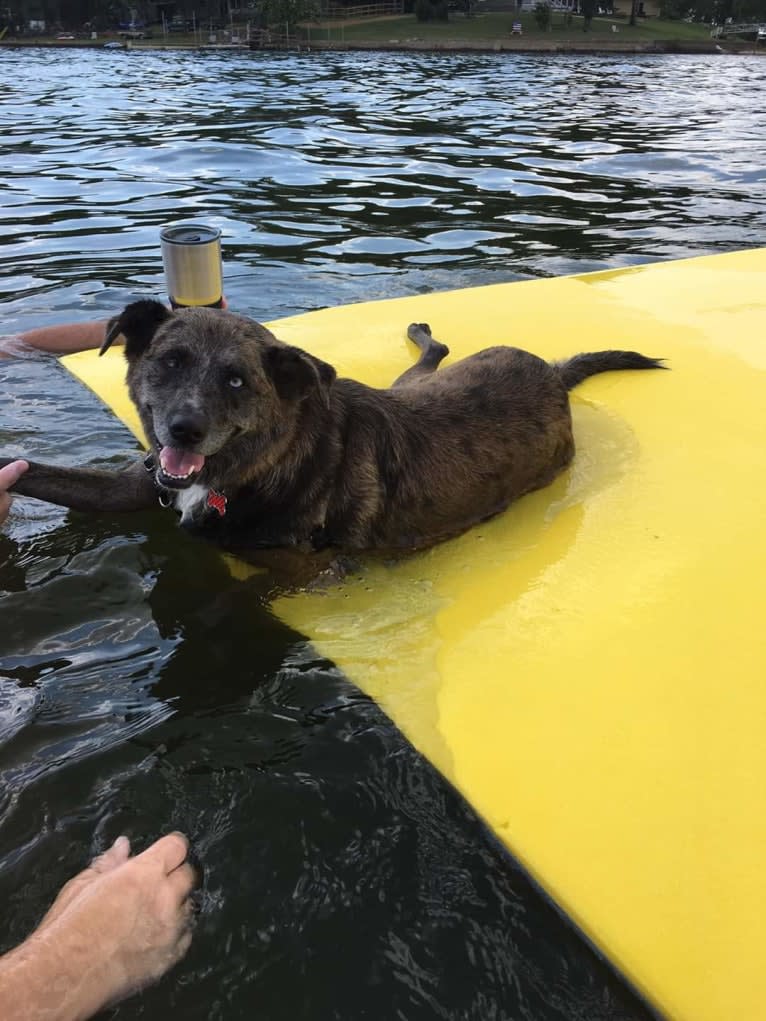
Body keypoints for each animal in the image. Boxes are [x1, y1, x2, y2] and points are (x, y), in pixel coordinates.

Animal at [1, 298, 665, 555]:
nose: (183, 431)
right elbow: (44, 473)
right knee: (436, 351)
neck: (263, 463)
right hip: (413, 383)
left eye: (237, 381)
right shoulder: (139, 483)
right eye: (170, 362)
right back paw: (420, 330)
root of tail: (552, 373)